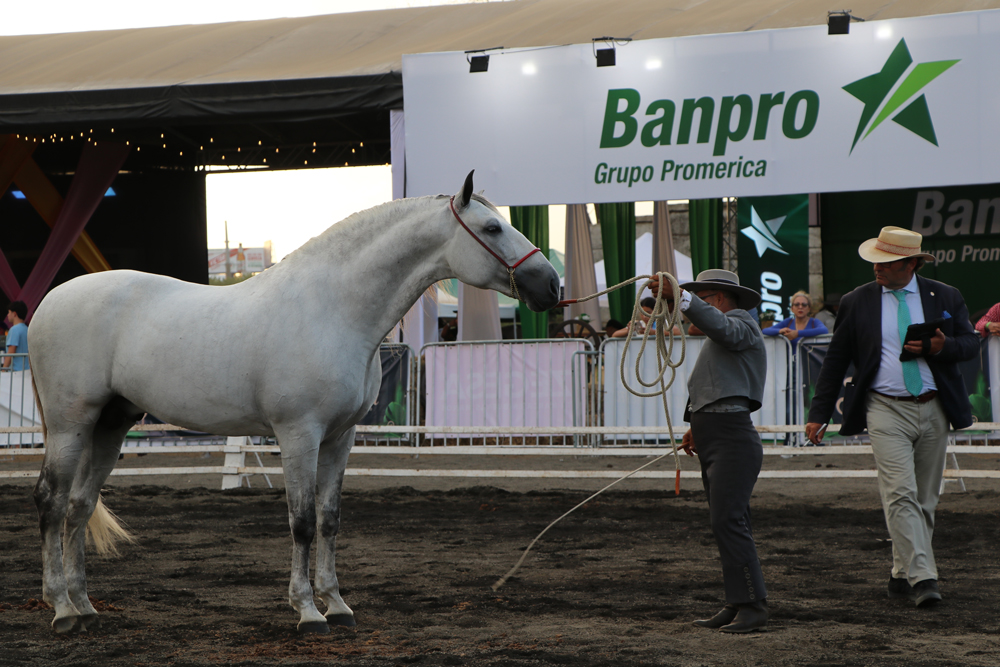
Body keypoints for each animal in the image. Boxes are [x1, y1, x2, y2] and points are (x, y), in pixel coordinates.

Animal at [28, 171, 560, 634]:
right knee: (52, 503)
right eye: (492, 228)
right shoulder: (298, 433)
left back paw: (85, 606)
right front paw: (307, 612)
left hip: (111, 423)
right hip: (71, 423)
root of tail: (47, 303)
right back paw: (62, 610)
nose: (551, 285)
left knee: (79, 506)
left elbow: (329, 519)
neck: (334, 309)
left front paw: (338, 605)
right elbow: (302, 522)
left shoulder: (340, 437)